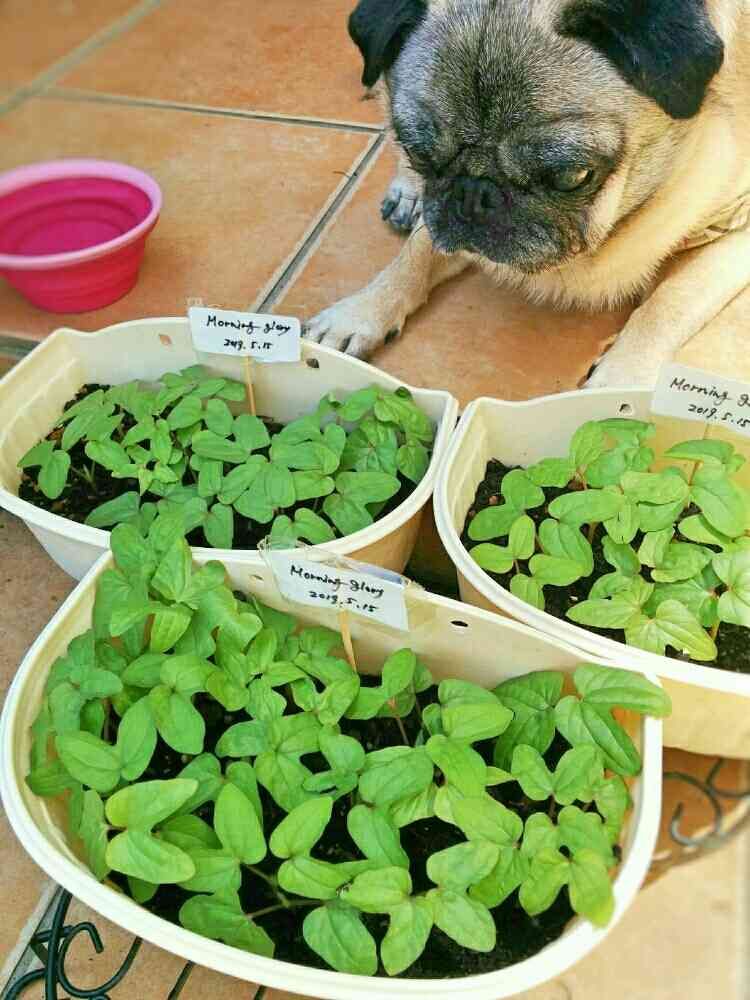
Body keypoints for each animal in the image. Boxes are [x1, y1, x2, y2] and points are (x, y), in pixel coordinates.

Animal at [303, 0, 750, 388]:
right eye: (420, 154)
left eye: (571, 176)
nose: (474, 194)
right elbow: (415, 253)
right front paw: (362, 311)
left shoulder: (737, 230)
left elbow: (669, 303)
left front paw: (620, 380)